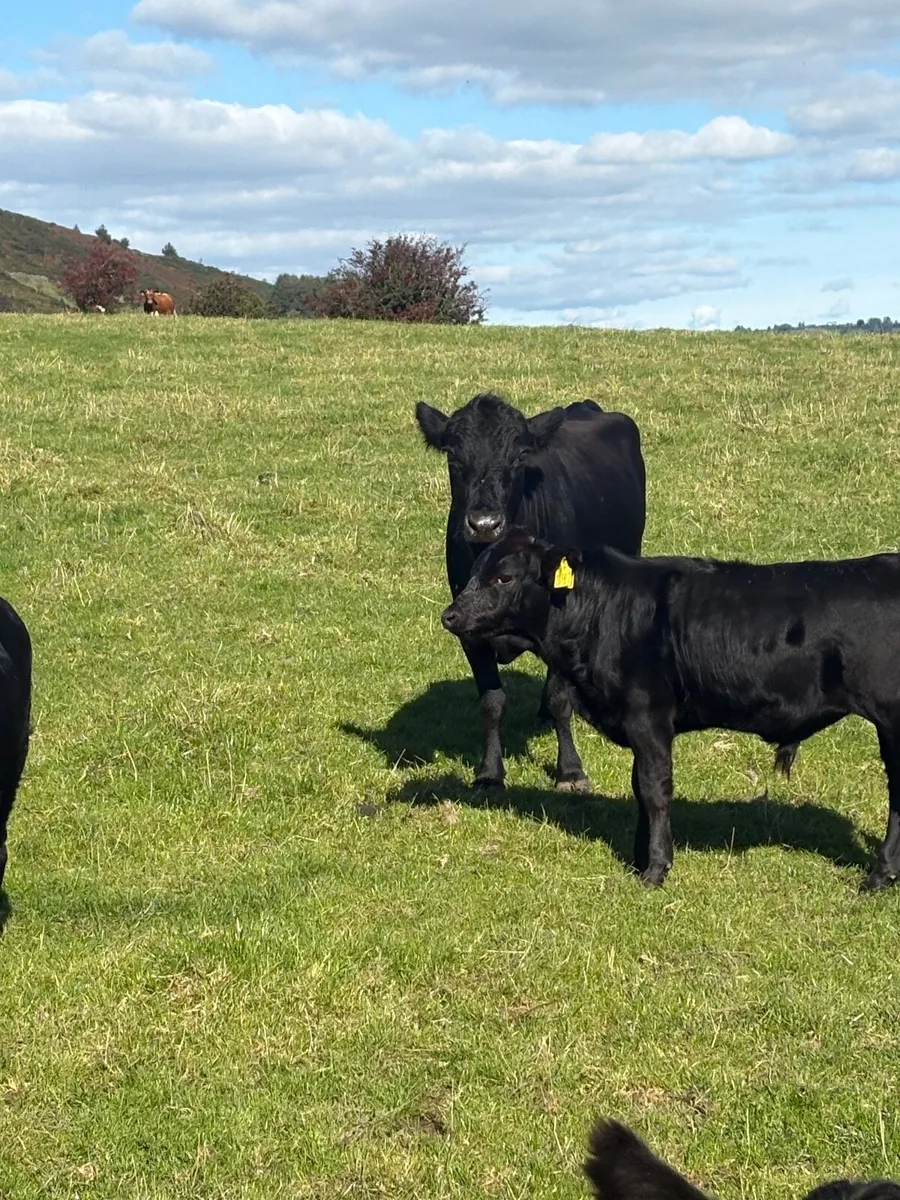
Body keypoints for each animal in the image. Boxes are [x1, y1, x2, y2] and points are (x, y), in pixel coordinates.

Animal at [416, 392, 645, 791]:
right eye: (453, 455)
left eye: (520, 455)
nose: (484, 523)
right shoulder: (468, 628)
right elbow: (492, 702)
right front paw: (490, 772)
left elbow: (558, 699)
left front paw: (570, 770)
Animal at [440, 529, 900, 891]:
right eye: (476, 570)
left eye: (504, 577)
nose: (450, 615)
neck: (603, 611)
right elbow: (639, 788)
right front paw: (638, 857)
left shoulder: (648, 716)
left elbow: (655, 789)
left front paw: (656, 868)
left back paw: (880, 875)